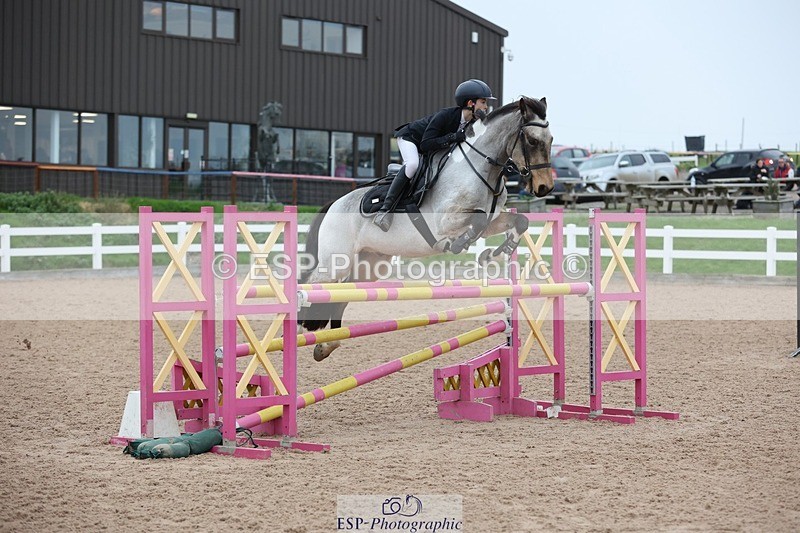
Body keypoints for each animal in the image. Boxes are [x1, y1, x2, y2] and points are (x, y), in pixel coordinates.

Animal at [298, 96, 553, 361]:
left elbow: (518, 222)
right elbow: (477, 222)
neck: (481, 169)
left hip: (370, 264)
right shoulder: (445, 221)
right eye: (532, 141)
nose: (545, 187)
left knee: (342, 294)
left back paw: (326, 346)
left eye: (551, 140)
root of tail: (333, 204)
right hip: (336, 261)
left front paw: (495, 252)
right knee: (310, 282)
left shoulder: (492, 221)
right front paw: (461, 245)